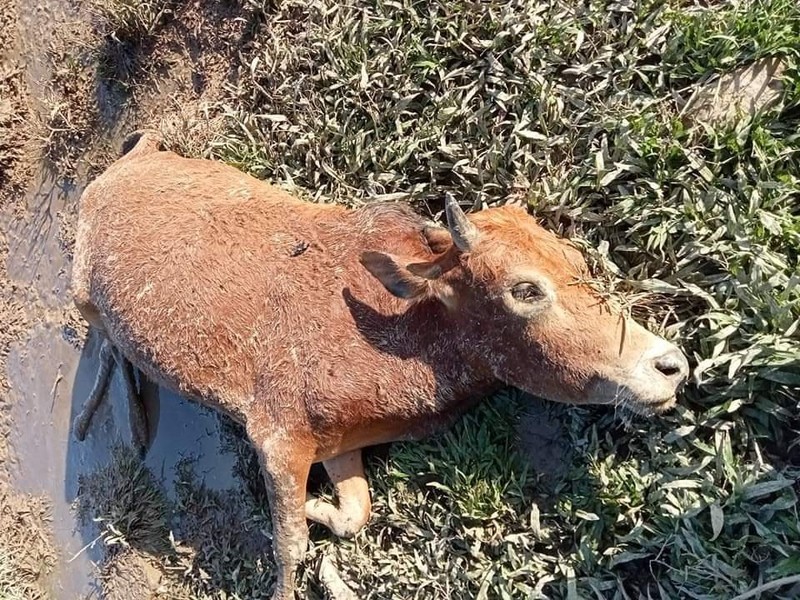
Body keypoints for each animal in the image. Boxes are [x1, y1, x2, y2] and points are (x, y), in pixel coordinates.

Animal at [72, 132, 692, 600]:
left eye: (575, 260)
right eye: (525, 289)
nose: (669, 365)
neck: (401, 332)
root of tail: (131, 158)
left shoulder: (338, 443)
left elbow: (355, 517)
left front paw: (320, 509)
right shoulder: (277, 439)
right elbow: (289, 547)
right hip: (81, 295)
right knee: (104, 342)